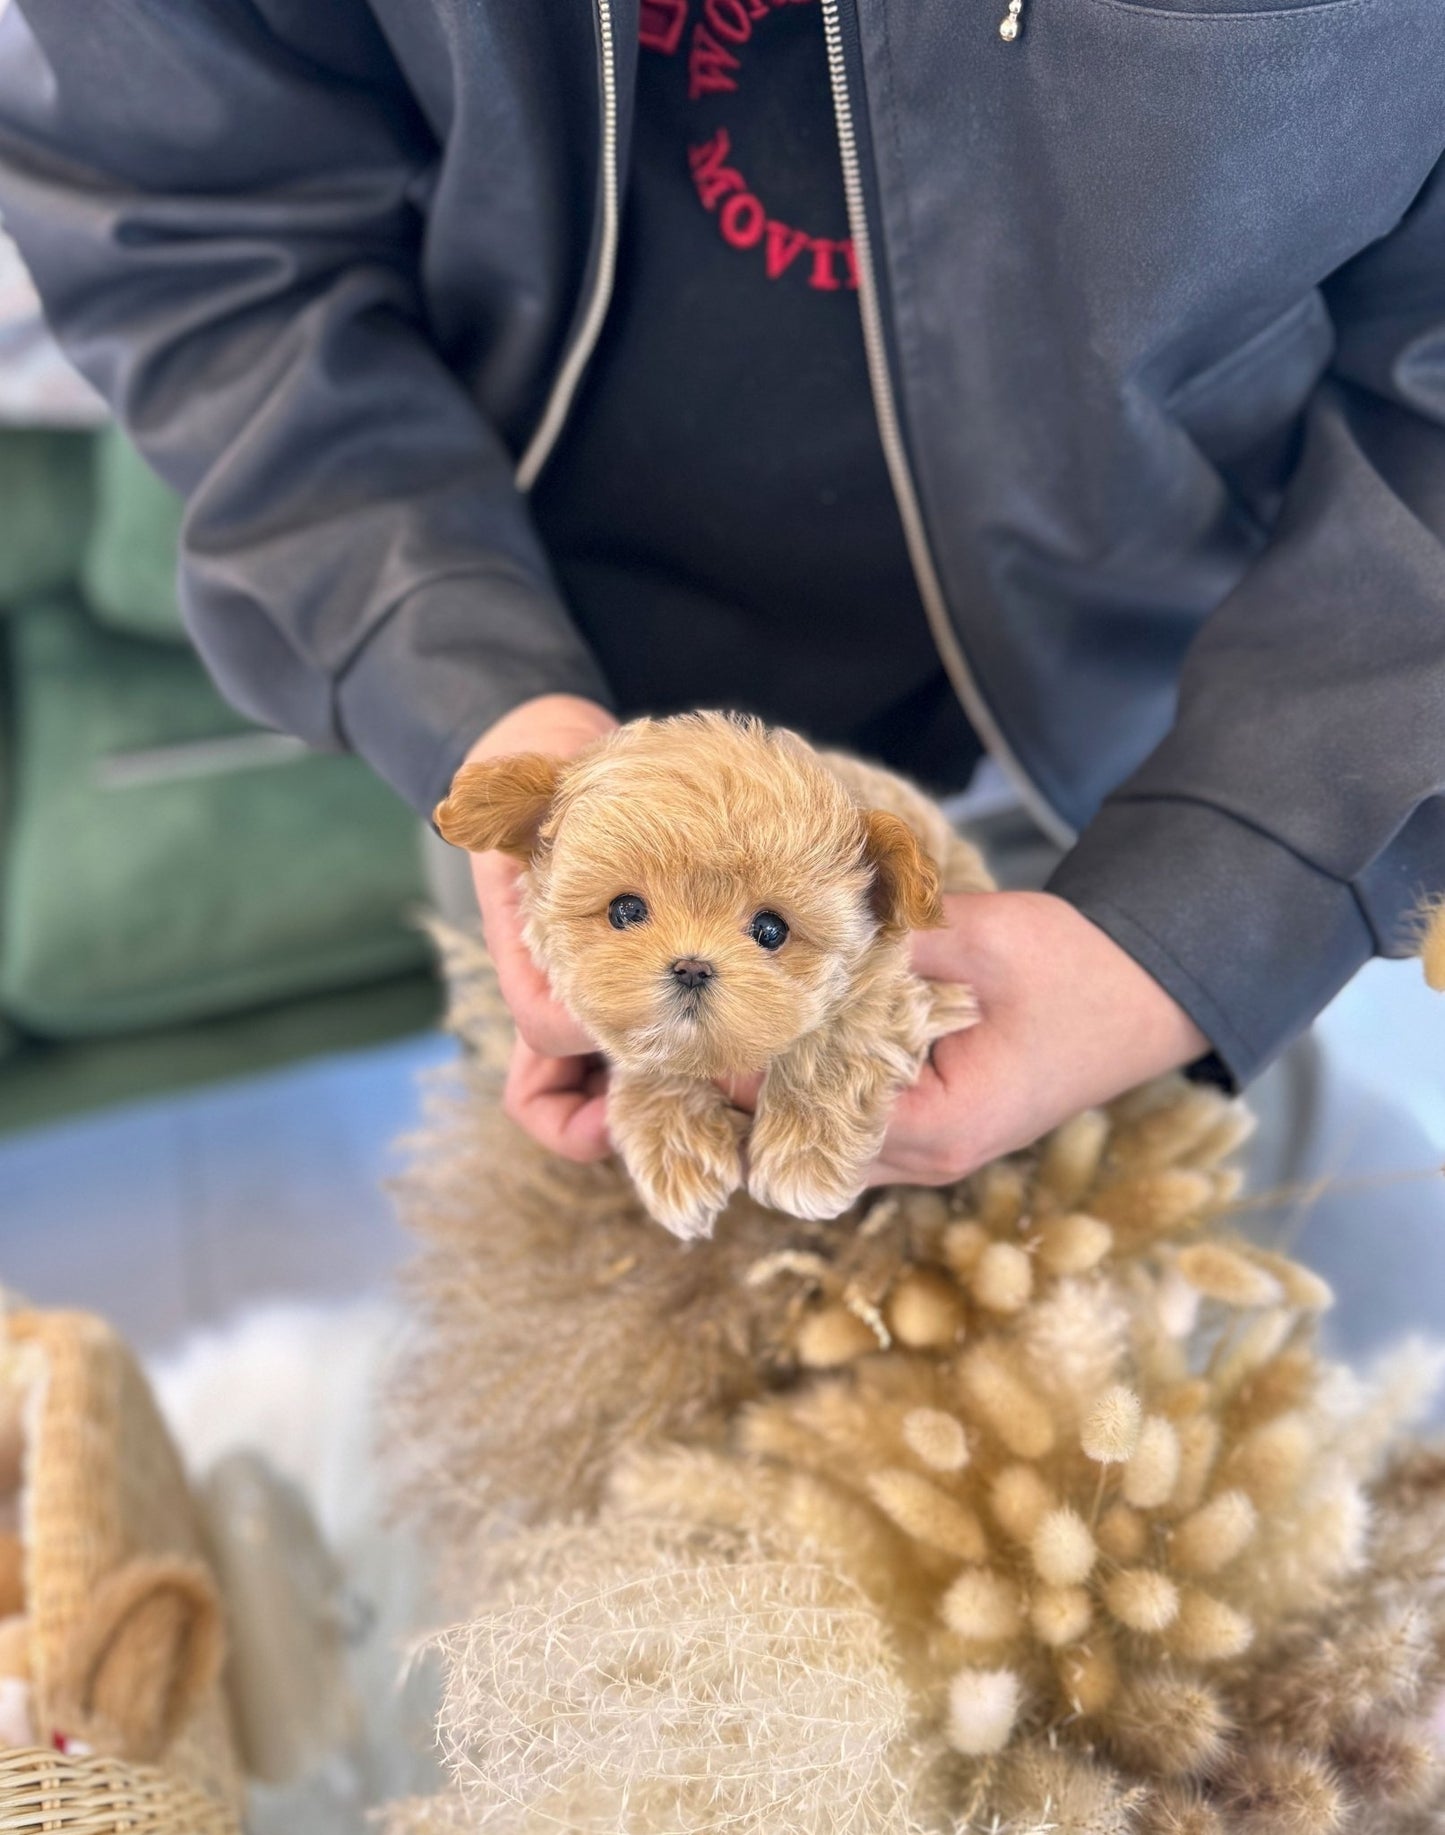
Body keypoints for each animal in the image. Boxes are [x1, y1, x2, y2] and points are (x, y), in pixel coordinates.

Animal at [435, 708, 991, 1240]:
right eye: (624, 910)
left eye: (770, 929)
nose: (691, 967)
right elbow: (653, 1055)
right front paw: (676, 1154)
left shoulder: (905, 984)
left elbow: (837, 1037)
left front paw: (804, 1156)